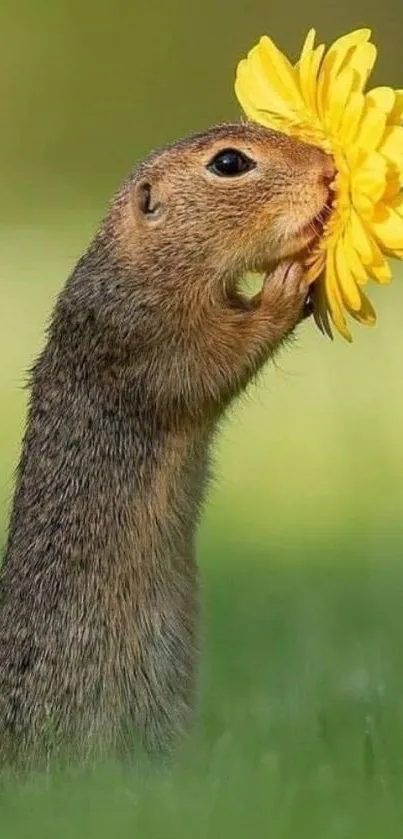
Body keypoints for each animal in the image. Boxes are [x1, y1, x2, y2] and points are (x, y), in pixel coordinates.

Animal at [0, 121, 334, 772]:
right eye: (229, 164)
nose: (330, 169)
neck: (142, 263)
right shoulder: (149, 337)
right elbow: (216, 360)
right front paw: (286, 285)